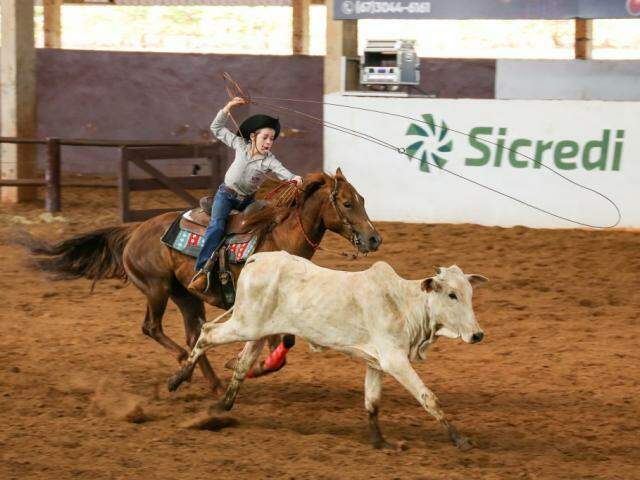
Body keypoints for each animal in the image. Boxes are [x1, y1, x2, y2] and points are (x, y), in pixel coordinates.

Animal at [25, 171, 382, 392]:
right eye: (347, 203)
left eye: (363, 199)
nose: (373, 238)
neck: (278, 241)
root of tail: (135, 230)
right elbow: (273, 343)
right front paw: (241, 363)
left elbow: (283, 345)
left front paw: (248, 366)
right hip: (156, 288)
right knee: (152, 327)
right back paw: (184, 364)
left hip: (186, 295)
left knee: (193, 332)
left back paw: (211, 382)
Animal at [168, 251, 488, 450]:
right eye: (452, 294)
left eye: (470, 293)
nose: (477, 334)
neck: (405, 304)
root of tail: (257, 258)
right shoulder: (395, 360)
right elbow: (428, 398)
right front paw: (461, 440)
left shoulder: (376, 364)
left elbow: (372, 403)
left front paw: (381, 442)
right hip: (244, 324)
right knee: (206, 334)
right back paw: (177, 379)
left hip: (257, 331)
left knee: (242, 364)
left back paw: (220, 407)